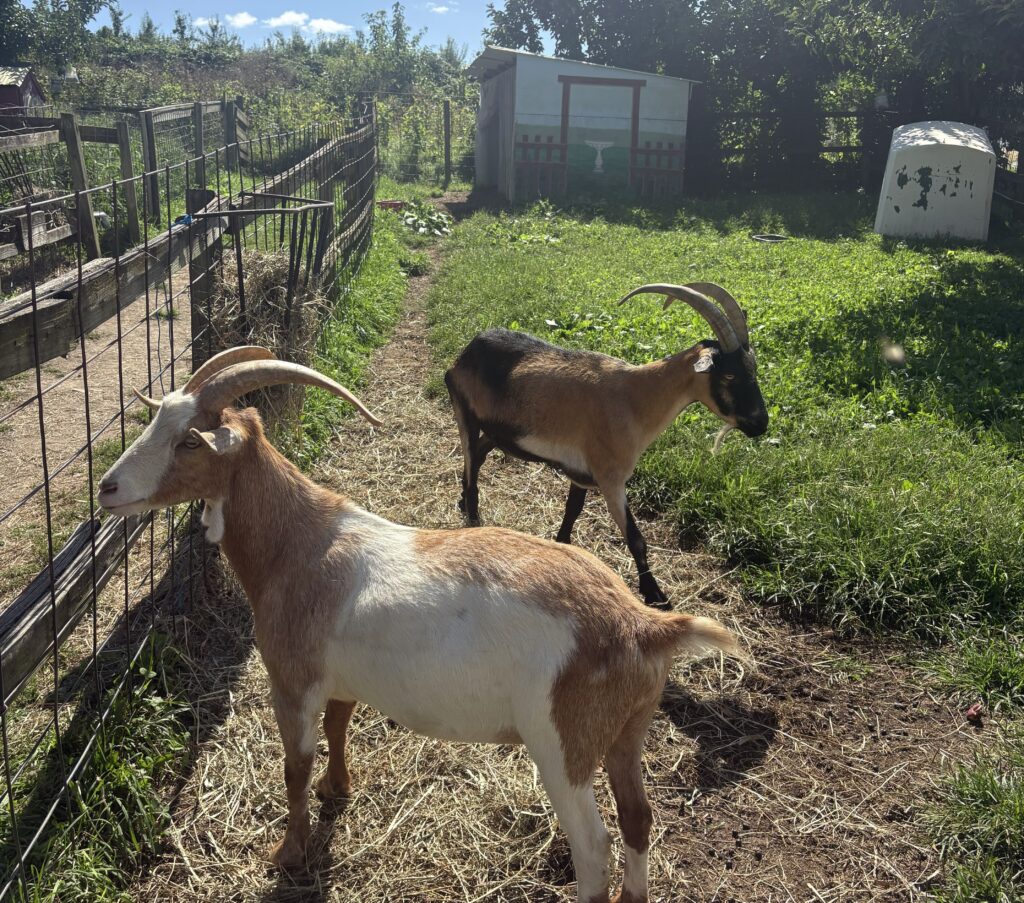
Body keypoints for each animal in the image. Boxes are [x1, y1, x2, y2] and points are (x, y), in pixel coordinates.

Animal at [98, 346, 744, 903]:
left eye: (188, 441)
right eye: (156, 423)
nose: (107, 488)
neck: (299, 542)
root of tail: (642, 625)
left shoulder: (293, 681)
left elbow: (294, 766)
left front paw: (288, 853)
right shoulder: (341, 680)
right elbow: (339, 725)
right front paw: (339, 789)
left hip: (565, 746)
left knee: (594, 848)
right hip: (627, 731)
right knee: (638, 820)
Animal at [444, 282, 768, 609]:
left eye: (753, 368)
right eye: (729, 374)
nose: (760, 424)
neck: (634, 399)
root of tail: (466, 352)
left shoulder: (581, 473)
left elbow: (572, 512)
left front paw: (564, 549)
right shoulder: (611, 479)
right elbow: (636, 539)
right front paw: (655, 595)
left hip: (498, 432)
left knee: (478, 455)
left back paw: (461, 501)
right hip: (464, 412)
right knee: (471, 465)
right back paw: (472, 516)